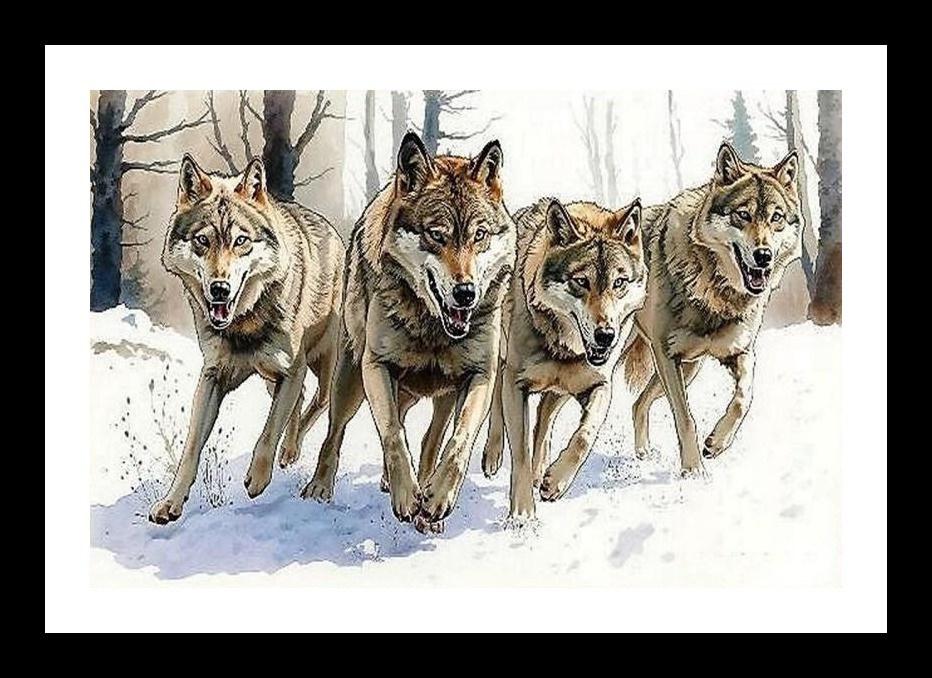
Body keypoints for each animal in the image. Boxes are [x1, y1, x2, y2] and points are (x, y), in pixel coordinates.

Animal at [148, 154, 344, 524]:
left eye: (241, 241)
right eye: (203, 240)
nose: (219, 289)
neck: (244, 324)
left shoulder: (291, 369)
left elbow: (269, 431)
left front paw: (258, 477)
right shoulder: (213, 377)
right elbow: (191, 448)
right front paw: (171, 503)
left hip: (324, 365)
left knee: (319, 401)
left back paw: (290, 450)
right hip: (271, 379)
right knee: (300, 400)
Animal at [300, 132, 515, 531]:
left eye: (479, 235)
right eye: (436, 235)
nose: (466, 293)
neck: (433, 328)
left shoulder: (481, 374)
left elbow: (458, 442)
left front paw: (436, 500)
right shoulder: (376, 366)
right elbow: (392, 434)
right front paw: (404, 495)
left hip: (442, 394)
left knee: (432, 440)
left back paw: (426, 502)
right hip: (351, 381)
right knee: (335, 432)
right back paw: (320, 489)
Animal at [481, 198, 647, 519]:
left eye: (619, 282)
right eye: (581, 282)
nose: (606, 335)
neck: (564, 347)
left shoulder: (600, 386)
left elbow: (584, 437)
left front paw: (555, 482)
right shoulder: (516, 384)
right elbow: (520, 450)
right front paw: (522, 514)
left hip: (560, 390)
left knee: (544, 419)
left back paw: (541, 472)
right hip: (502, 361)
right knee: (497, 398)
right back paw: (493, 455)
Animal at [624, 142, 802, 474]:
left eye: (777, 217)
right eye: (743, 215)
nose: (764, 256)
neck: (715, 290)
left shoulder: (739, 351)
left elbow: (744, 398)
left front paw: (717, 443)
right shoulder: (666, 356)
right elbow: (685, 419)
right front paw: (693, 472)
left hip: (689, 367)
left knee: (638, 402)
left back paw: (642, 452)